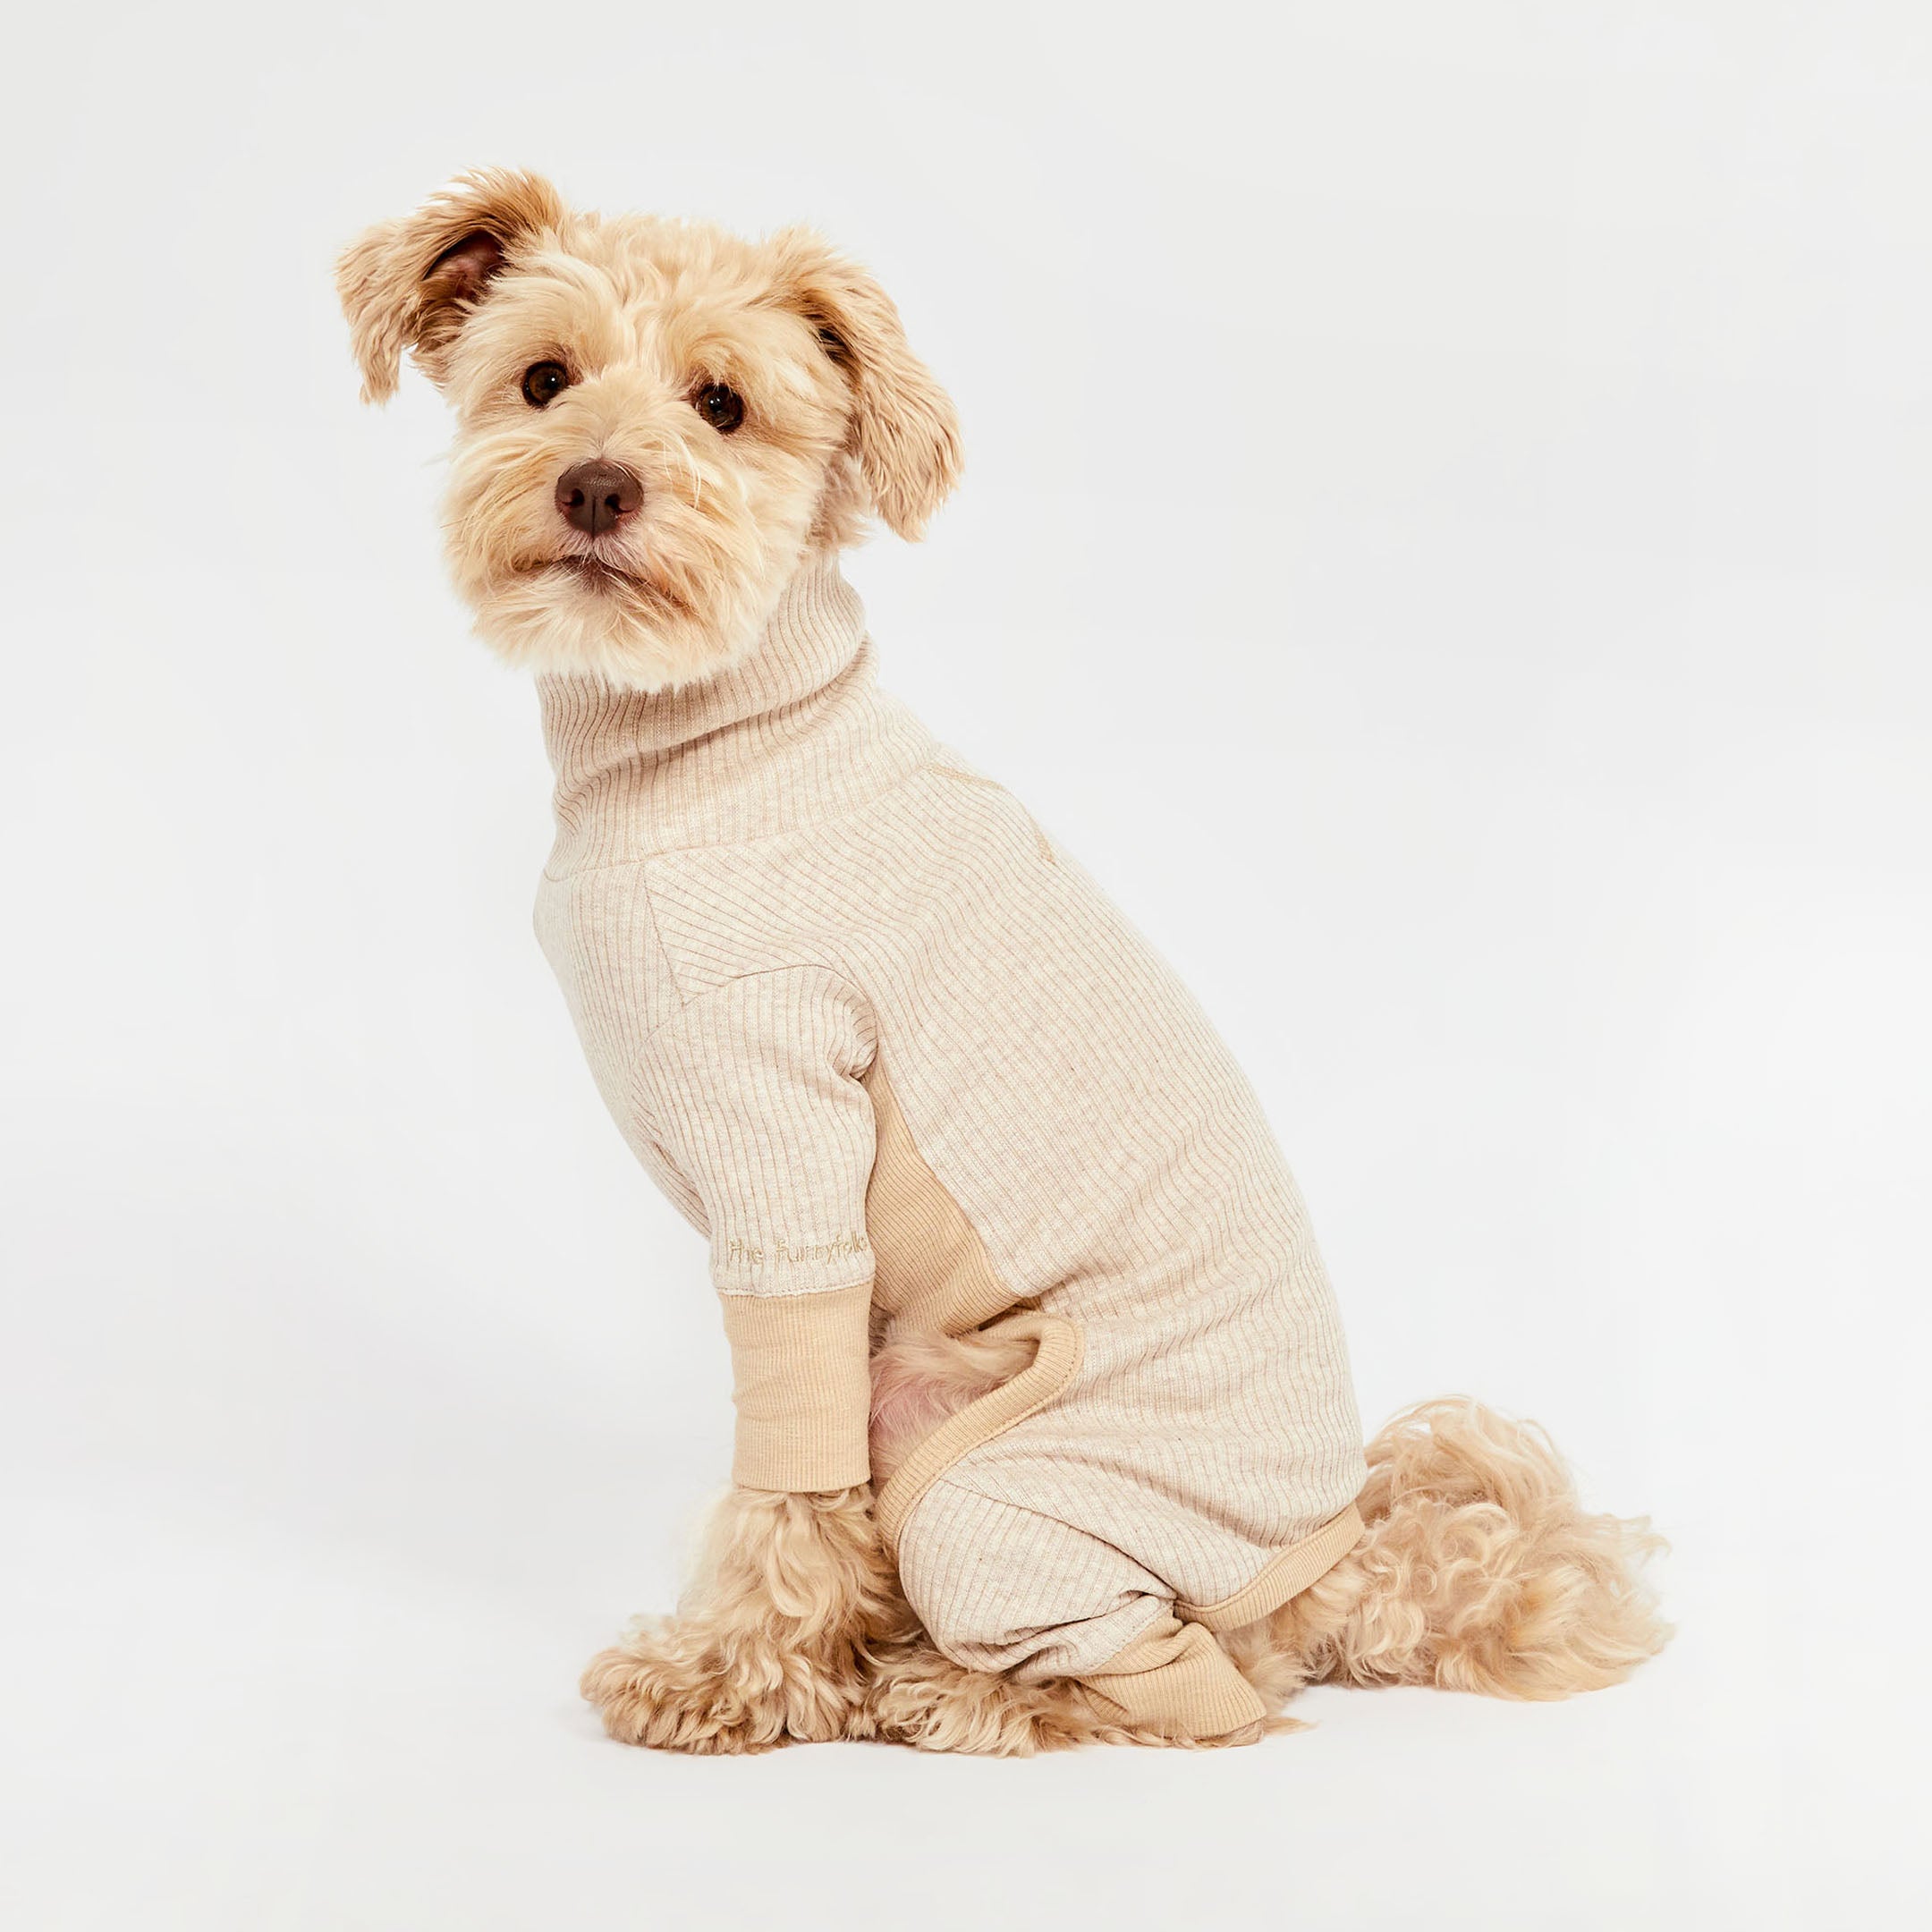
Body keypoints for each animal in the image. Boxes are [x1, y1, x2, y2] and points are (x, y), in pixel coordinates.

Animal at [340, 174, 1669, 1761]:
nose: (597, 486)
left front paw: (731, 1673)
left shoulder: (790, 1159)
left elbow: (787, 1483)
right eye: (542, 379)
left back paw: (948, 1687)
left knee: (1195, 1685)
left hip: (982, 1483)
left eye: (723, 404)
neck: (716, 732)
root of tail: (1336, 1559)